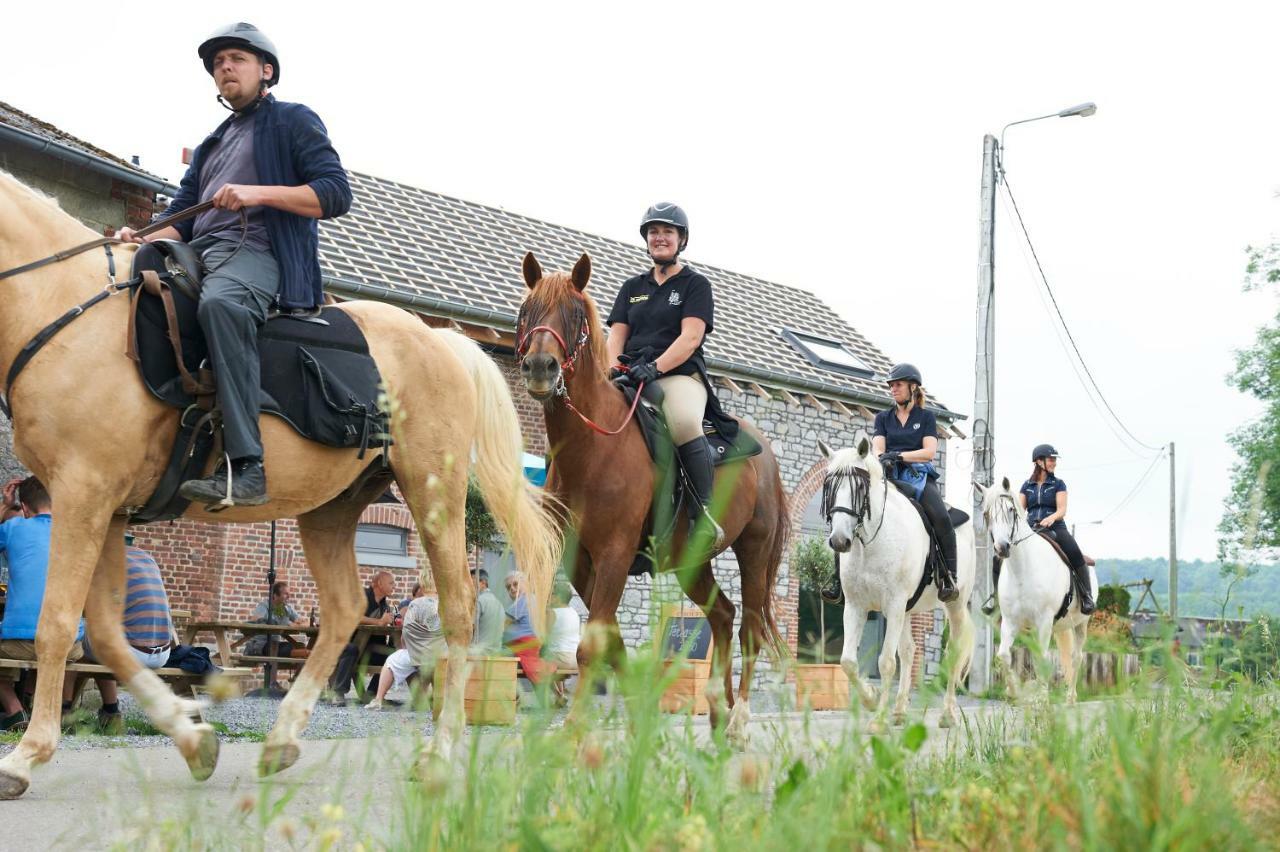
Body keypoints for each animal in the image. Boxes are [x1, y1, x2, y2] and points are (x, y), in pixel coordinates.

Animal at [0, 172, 565, 798]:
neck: (60, 308)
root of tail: (441, 340)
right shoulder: (109, 508)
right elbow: (102, 633)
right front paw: (195, 740)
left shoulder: (82, 494)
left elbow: (56, 625)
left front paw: (25, 756)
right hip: (331, 509)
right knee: (344, 608)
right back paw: (282, 739)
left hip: (433, 493)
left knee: (458, 609)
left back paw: (438, 753)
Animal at [514, 250, 783, 736]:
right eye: (527, 310)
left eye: (575, 315)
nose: (541, 368)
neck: (593, 447)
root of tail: (764, 450)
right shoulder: (579, 559)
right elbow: (611, 642)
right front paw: (642, 718)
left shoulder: (615, 554)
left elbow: (591, 645)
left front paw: (573, 731)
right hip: (690, 562)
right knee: (723, 615)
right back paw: (718, 711)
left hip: (753, 551)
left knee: (749, 628)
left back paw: (738, 719)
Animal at [814, 434, 972, 726]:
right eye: (828, 485)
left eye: (860, 486)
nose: (840, 541)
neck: (871, 543)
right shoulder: (856, 606)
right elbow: (848, 662)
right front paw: (872, 699)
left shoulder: (894, 604)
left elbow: (886, 661)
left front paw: (878, 720)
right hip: (908, 609)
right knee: (909, 650)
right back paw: (899, 711)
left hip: (954, 604)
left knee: (953, 650)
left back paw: (947, 714)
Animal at [972, 473, 1095, 701]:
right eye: (986, 514)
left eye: (1011, 510)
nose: (1002, 548)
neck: (1023, 570)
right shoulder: (1010, 622)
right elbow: (1004, 655)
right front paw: (1013, 692)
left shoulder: (1044, 621)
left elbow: (1042, 658)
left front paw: (1042, 698)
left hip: (1082, 623)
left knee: (1077, 656)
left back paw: (1070, 698)